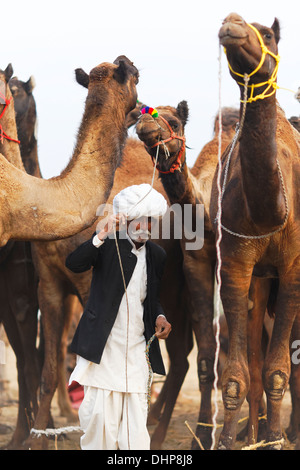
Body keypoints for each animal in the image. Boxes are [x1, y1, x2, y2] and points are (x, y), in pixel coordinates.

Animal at [136, 103, 239, 448]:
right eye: (144, 112)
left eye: (175, 121)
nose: (145, 124)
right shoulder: (194, 266)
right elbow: (206, 358)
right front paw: (202, 435)